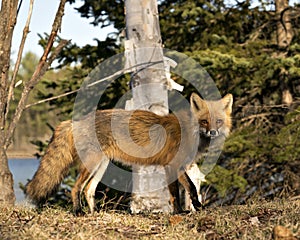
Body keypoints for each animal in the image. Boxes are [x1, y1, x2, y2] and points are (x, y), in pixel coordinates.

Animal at [25, 93, 233, 215]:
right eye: (204, 121)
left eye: (218, 121)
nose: (213, 132)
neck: (189, 132)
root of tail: (74, 121)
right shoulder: (173, 165)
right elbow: (182, 190)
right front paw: (184, 211)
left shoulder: (177, 166)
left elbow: (186, 190)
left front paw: (188, 209)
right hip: (91, 164)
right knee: (76, 188)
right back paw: (78, 212)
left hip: (101, 165)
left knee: (88, 190)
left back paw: (94, 214)